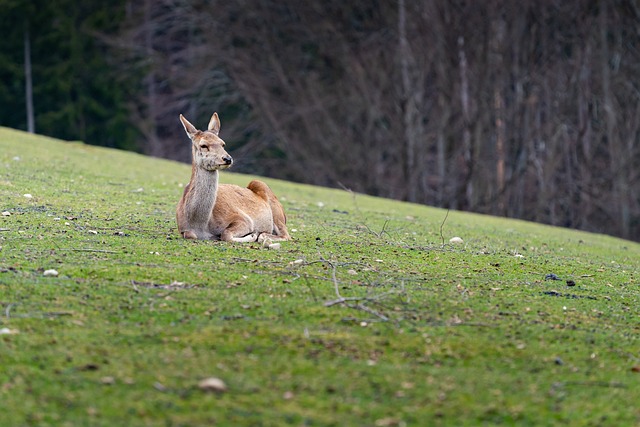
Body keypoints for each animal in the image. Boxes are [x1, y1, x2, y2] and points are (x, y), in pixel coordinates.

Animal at [178, 112, 292, 244]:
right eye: (203, 145)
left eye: (223, 144)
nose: (227, 158)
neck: (199, 224)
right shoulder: (183, 229)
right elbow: (189, 234)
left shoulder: (243, 219)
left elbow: (226, 234)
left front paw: (252, 235)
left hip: (274, 209)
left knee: (285, 235)